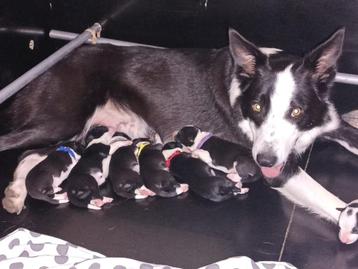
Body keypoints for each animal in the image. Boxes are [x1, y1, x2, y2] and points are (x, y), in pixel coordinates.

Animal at [0, 27, 356, 243]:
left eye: (296, 111)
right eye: (256, 107)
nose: (265, 161)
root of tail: (44, 67)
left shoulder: (329, 122)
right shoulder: (279, 168)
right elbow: (326, 197)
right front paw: (348, 220)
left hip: (70, 133)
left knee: (30, 154)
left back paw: (16, 191)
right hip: (62, 120)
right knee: (14, 145)